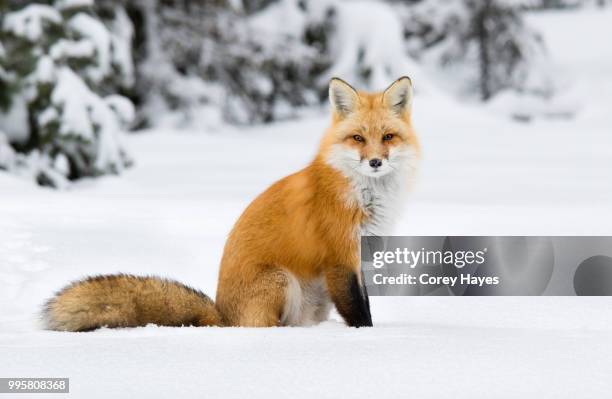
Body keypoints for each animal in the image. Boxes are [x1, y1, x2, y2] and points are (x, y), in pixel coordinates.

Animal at [43, 77, 418, 332]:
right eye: (358, 138)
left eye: (387, 137)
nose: (375, 162)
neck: (364, 194)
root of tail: (222, 317)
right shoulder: (340, 257)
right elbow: (359, 311)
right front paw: (365, 338)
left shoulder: (362, 255)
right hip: (282, 281)